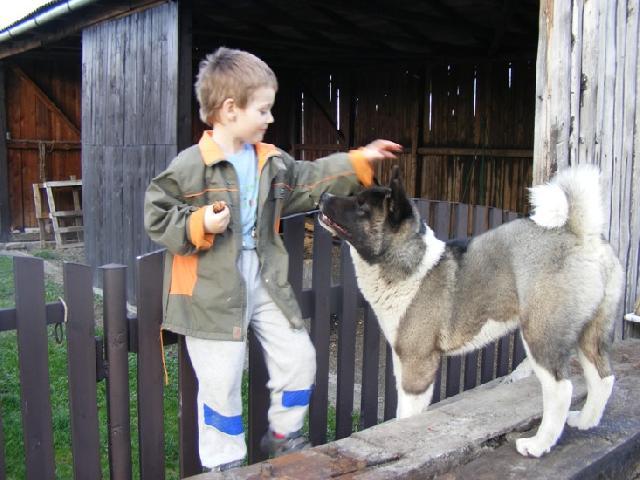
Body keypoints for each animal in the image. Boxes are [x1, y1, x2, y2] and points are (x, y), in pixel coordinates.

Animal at [318, 165, 624, 458]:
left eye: (361, 206)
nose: (323, 196)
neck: (410, 263)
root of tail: (581, 234)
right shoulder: (402, 358)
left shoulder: (418, 363)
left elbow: (408, 412)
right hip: (589, 333)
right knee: (603, 378)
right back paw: (585, 422)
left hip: (542, 336)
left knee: (561, 390)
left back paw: (538, 445)